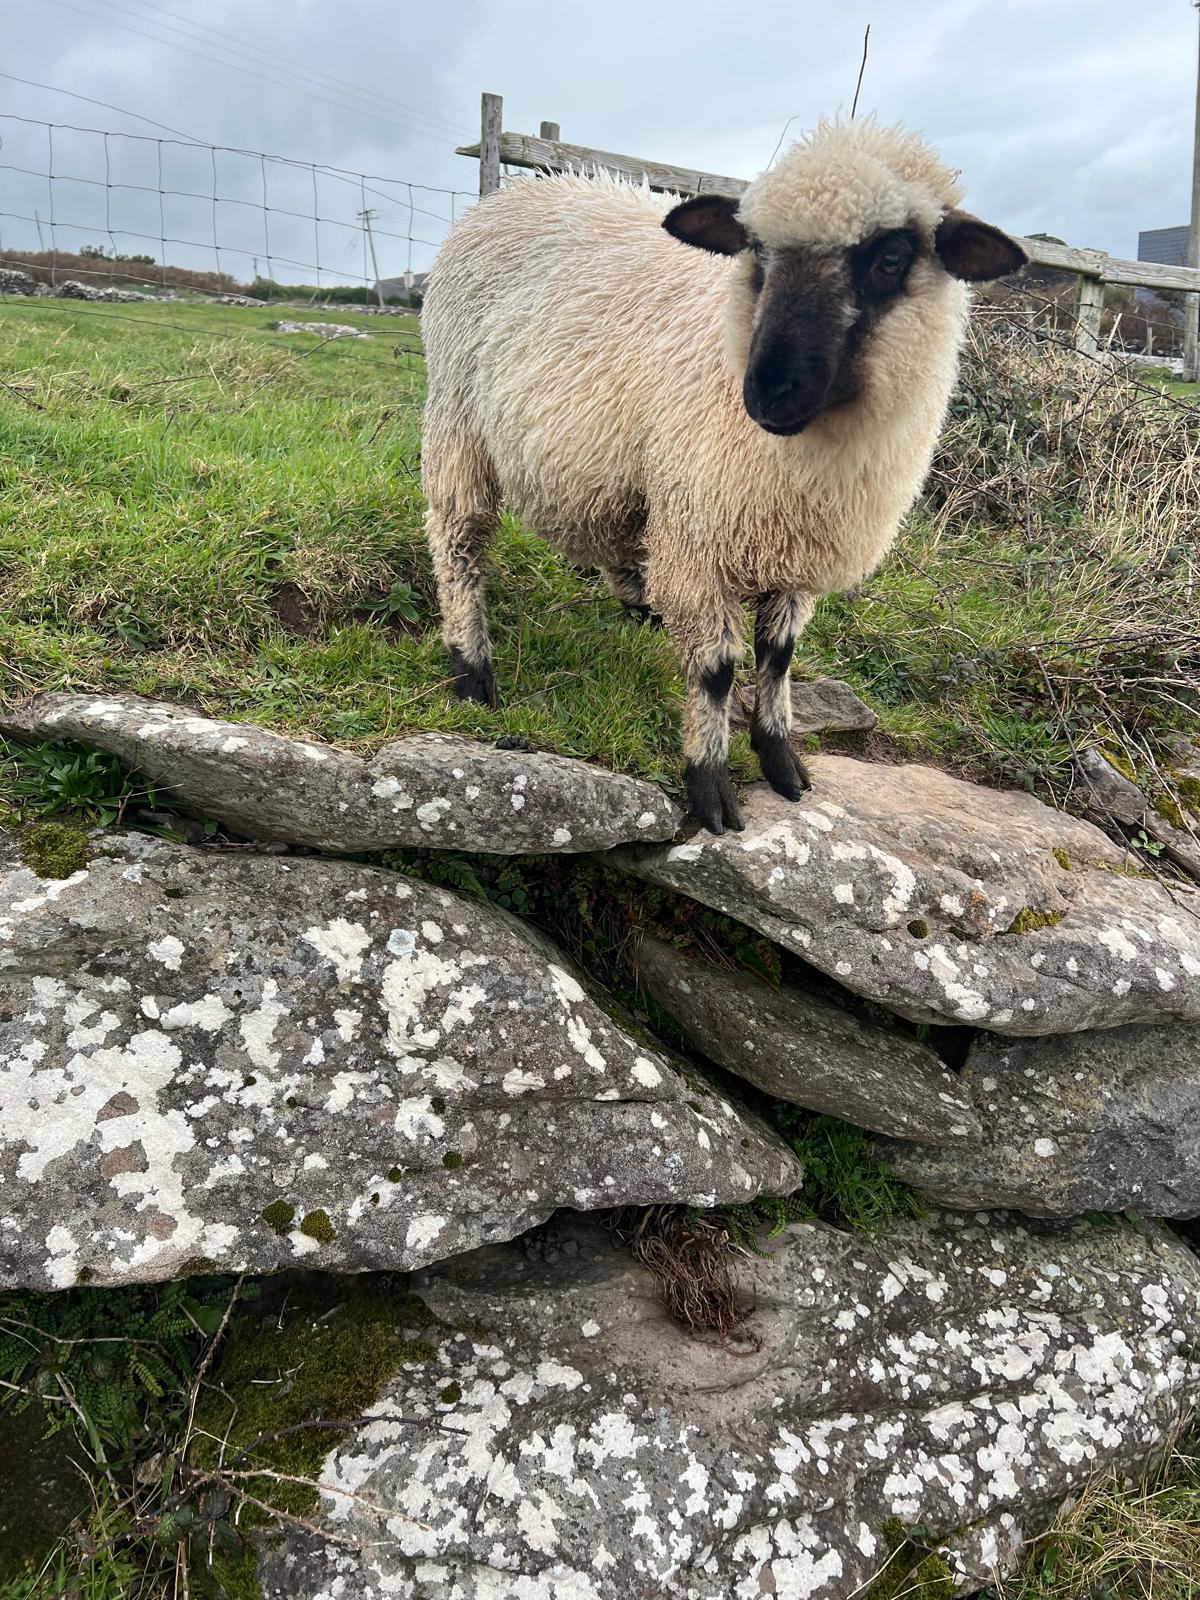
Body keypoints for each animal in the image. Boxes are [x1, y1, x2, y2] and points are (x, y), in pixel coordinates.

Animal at [421, 119, 1025, 833]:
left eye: (891, 257)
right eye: (756, 249)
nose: (768, 391)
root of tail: (511, 194)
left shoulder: (795, 544)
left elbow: (777, 655)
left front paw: (780, 755)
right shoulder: (699, 534)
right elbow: (714, 670)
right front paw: (709, 782)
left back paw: (637, 607)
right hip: (458, 418)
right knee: (459, 545)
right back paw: (472, 670)